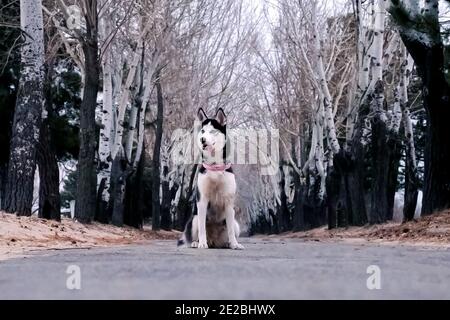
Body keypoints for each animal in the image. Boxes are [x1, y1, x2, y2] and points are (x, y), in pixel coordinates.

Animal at [178, 107, 244, 250]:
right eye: (203, 131)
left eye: (213, 131)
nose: (202, 139)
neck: (215, 167)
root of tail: (214, 241)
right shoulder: (202, 200)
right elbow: (202, 227)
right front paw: (202, 243)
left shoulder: (229, 202)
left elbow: (230, 230)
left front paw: (234, 244)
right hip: (194, 218)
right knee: (197, 227)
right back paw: (196, 242)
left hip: (236, 223)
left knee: (231, 229)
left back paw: (228, 243)